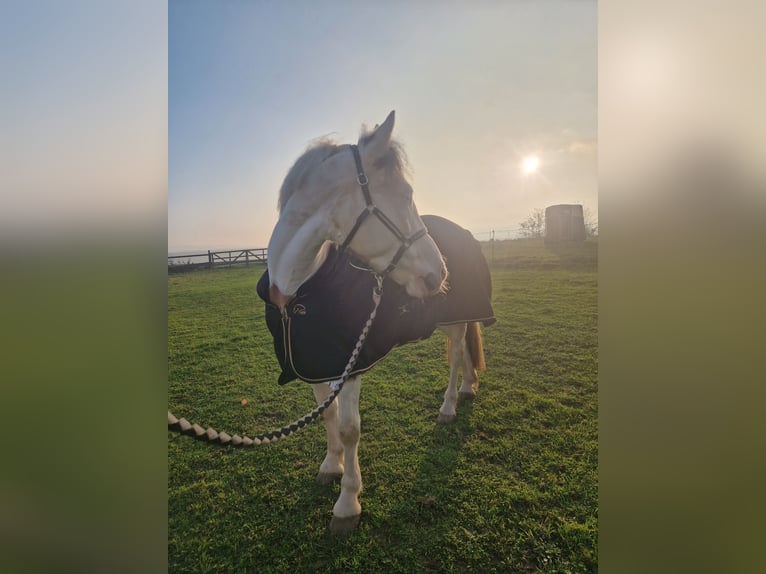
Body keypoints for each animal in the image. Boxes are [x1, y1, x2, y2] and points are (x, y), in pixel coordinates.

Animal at [260, 111, 496, 536]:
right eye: (404, 195)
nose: (439, 273)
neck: (300, 291)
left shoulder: (350, 365)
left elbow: (350, 428)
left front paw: (347, 503)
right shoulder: (316, 363)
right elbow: (328, 416)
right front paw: (330, 465)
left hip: (455, 321)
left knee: (455, 357)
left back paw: (449, 405)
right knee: (466, 355)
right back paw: (470, 388)